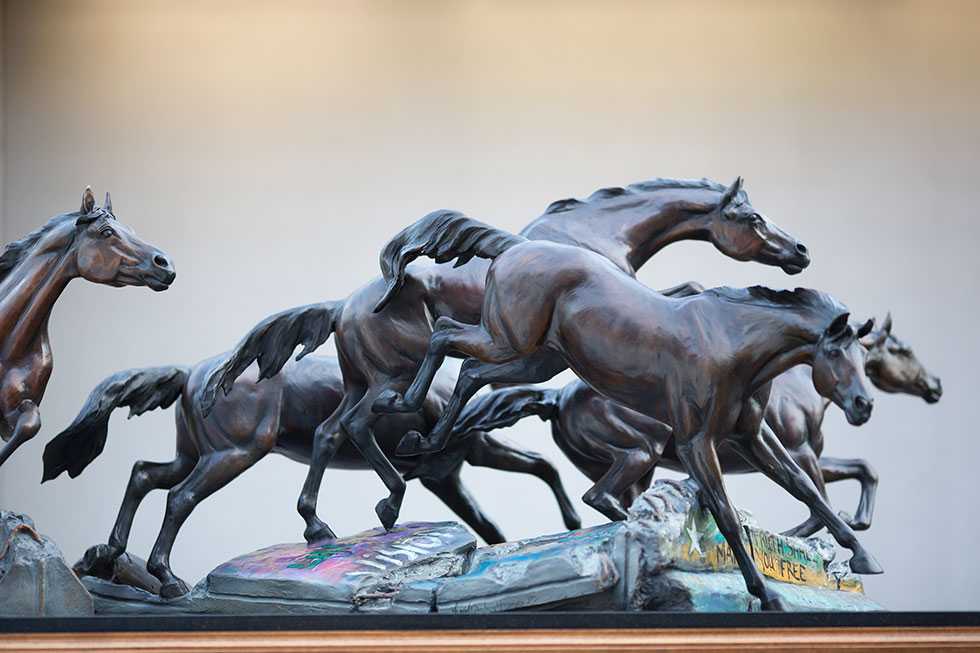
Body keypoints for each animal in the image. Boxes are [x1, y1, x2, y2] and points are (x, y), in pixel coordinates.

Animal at [0, 188, 174, 468]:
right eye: (107, 232)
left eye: (130, 229)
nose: (165, 264)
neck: (8, 346)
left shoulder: (18, 408)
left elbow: (30, 425)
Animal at [44, 354, 580, 592]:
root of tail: (191, 374)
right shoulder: (465, 457)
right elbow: (544, 467)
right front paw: (574, 521)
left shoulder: (445, 473)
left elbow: (490, 519)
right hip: (235, 453)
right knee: (180, 497)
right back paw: (168, 578)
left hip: (196, 453)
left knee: (143, 474)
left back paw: (110, 552)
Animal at [203, 176, 808, 536]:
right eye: (752, 219)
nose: (799, 252)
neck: (593, 235)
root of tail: (340, 308)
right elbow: (688, 289)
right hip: (388, 376)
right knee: (358, 422)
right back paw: (384, 495)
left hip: (362, 381)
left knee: (334, 432)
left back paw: (331, 519)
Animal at [364, 216, 876, 608]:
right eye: (835, 352)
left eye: (863, 355)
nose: (864, 405)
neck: (731, 341)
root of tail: (515, 247)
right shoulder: (696, 443)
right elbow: (728, 513)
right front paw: (765, 594)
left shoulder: (751, 437)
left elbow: (805, 487)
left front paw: (863, 556)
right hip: (515, 347)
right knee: (445, 335)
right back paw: (400, 422)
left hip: (536, 358)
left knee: (470, 369)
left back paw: (421, 442)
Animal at [452, 314, 940, 532]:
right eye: (901, 350)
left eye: (864, 356)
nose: (935, 385)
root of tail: (557, 397)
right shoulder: (800, 452)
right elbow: (817, 503)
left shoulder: (805, 454)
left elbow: (861, 470)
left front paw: (853, 523)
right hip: (639, 454)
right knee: (603, 498)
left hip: (635, 468)